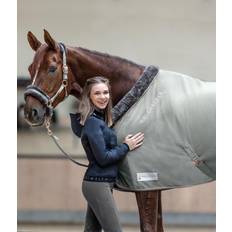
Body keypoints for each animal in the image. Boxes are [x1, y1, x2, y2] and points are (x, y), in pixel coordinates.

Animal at [23, 29, 216, 232]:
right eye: (30, 68)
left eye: (52, 68)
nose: (30, 112)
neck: (136, 96)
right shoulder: (156, 183)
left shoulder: (147, 182)